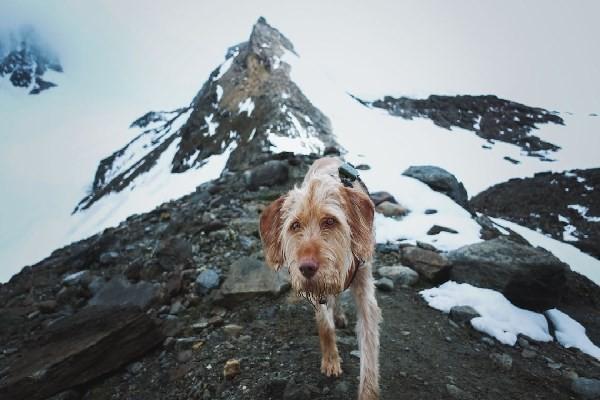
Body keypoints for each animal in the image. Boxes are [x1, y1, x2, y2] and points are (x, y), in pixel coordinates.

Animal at [258, 157, 382, 400]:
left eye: (330, 221)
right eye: (295, 225)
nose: (306, 267)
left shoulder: (365, 289)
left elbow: (369, 345)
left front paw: (367, 391)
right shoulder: (317, 291)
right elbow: (325, 325)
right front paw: (331, 360)